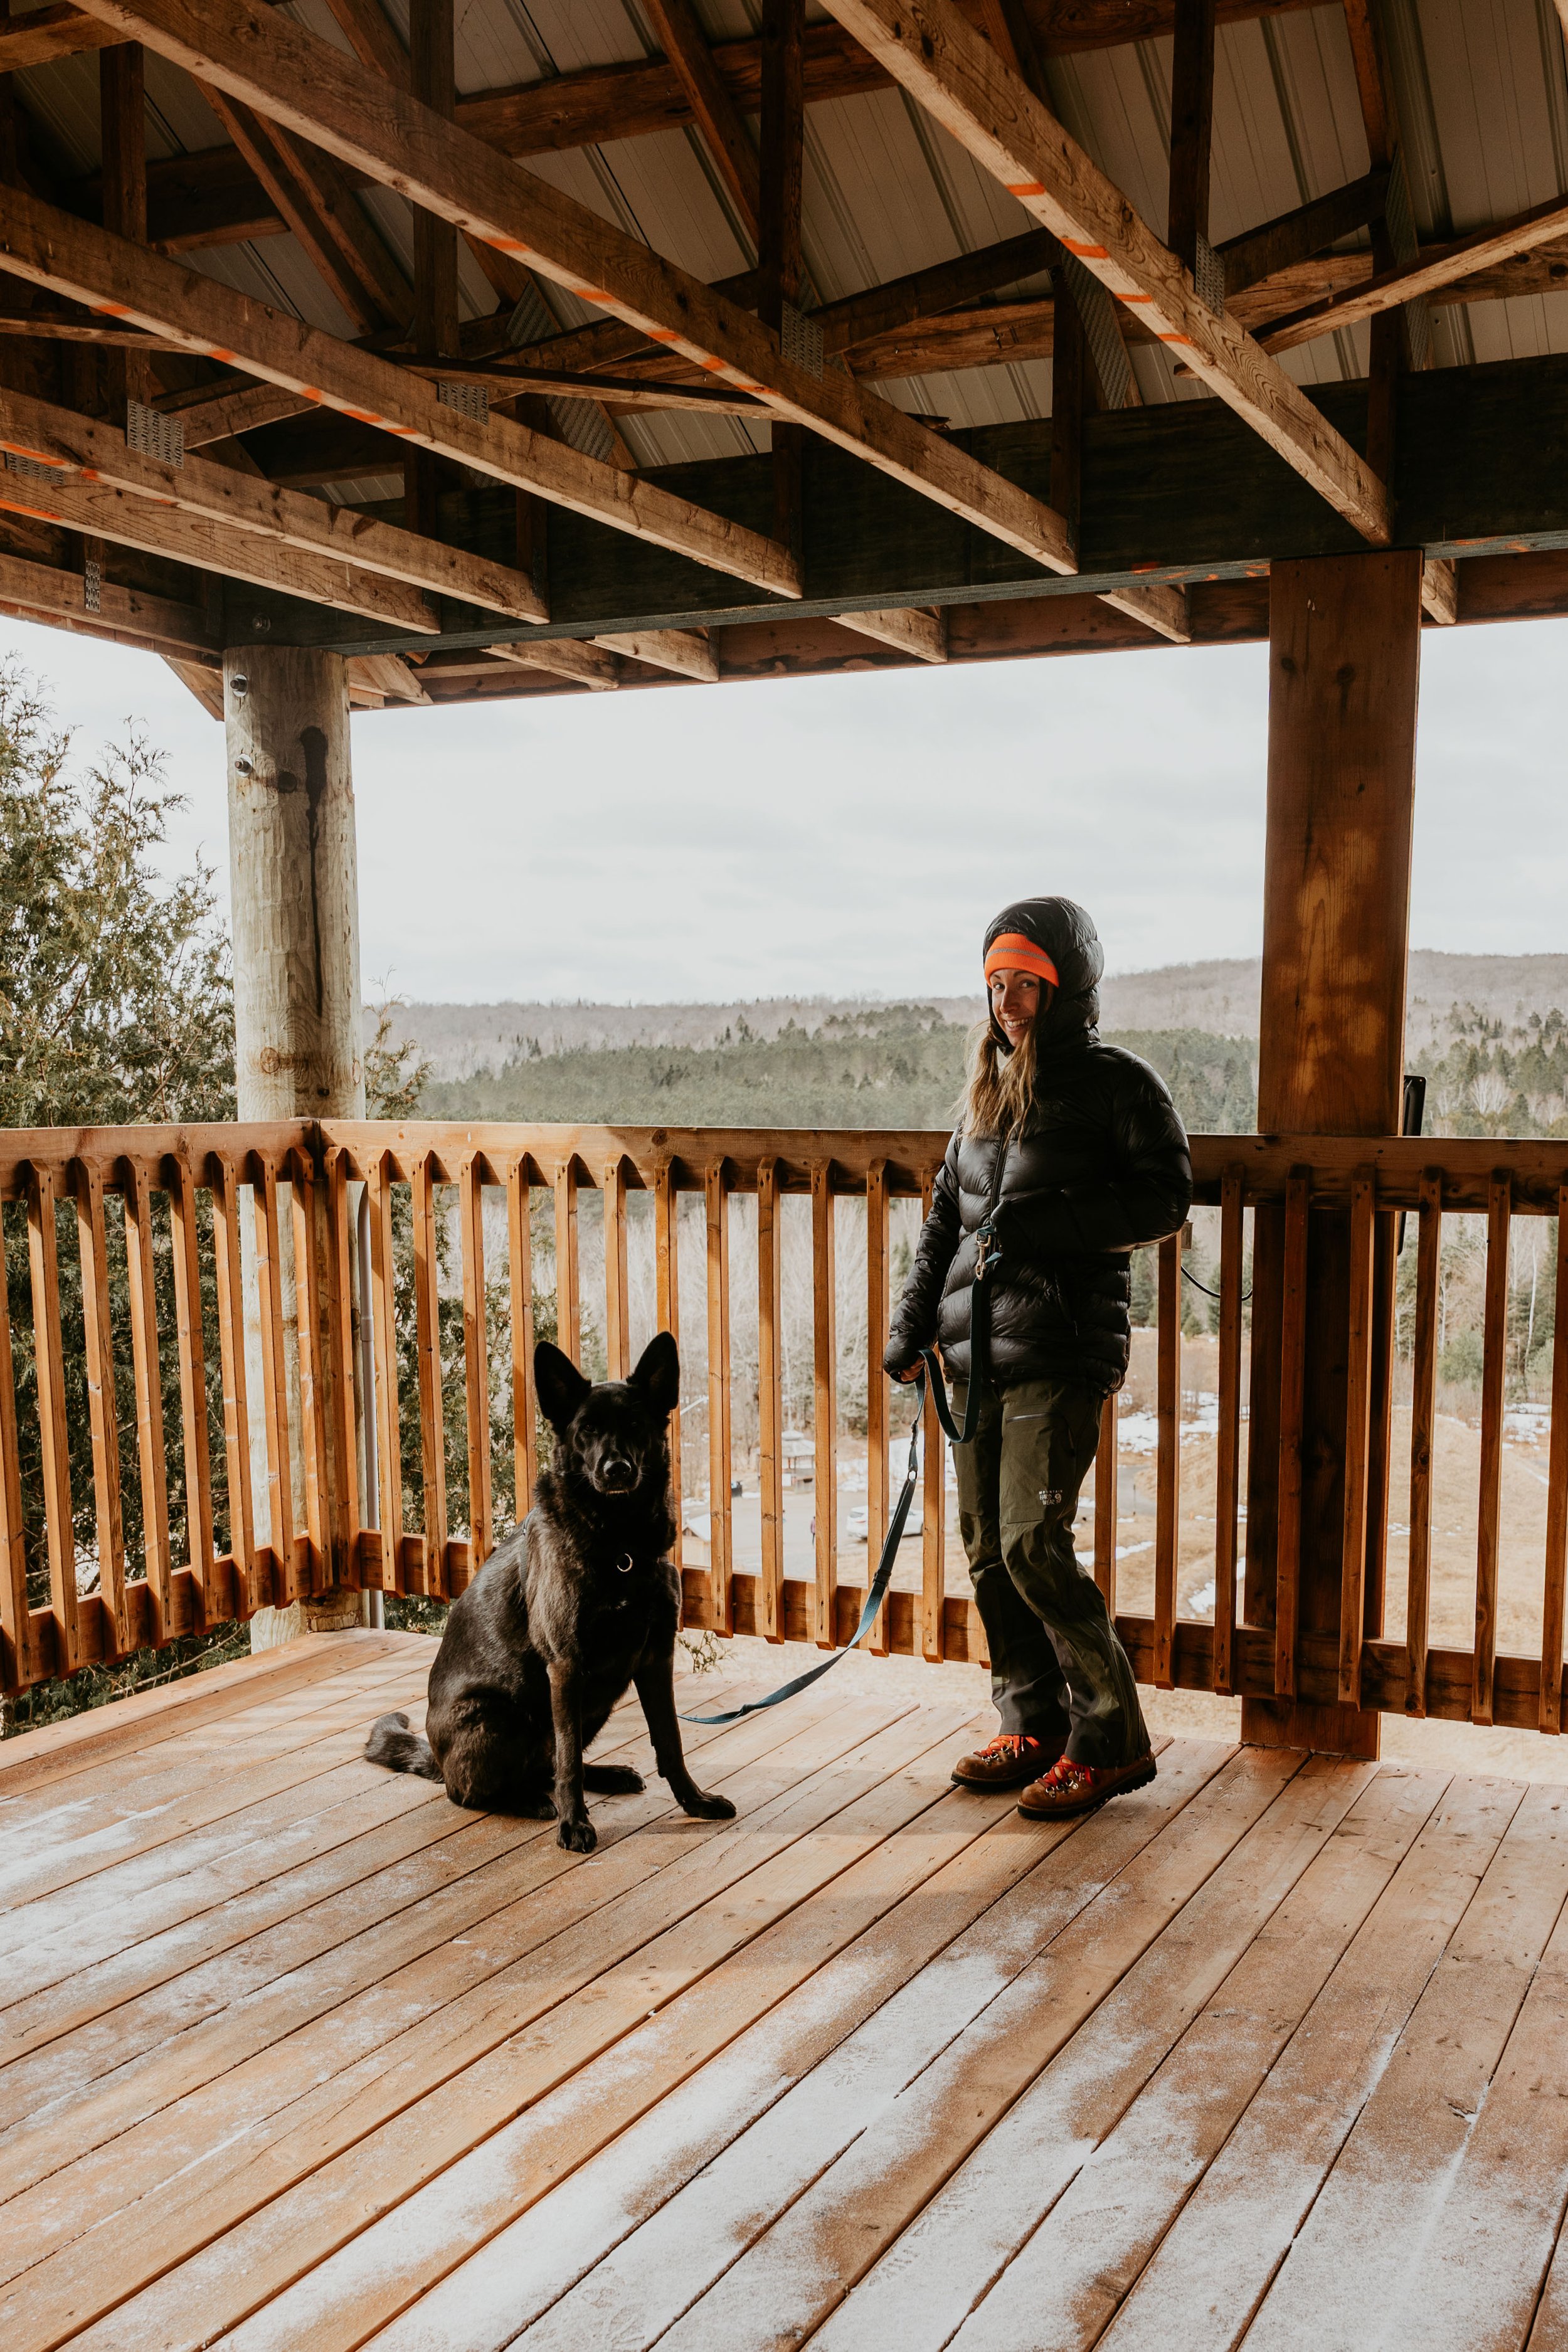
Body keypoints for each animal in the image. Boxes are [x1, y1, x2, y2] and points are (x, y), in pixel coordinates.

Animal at [364, 1336, 738, 1844]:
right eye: (588, 1429)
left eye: (635, 1425)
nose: (617, 1469)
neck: (619, 1547)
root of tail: (438, 1760)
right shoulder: (566, 1666)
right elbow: (568, 1759)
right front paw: (574, 1824)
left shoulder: (655, 1659)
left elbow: (670, 1742)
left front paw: (695, 1802)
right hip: (495, 1717)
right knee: (477, 1791)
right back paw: (531, 1802)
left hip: (599, 1701)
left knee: (552, 1763)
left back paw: (608, 1775)